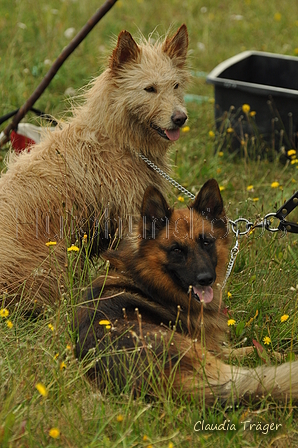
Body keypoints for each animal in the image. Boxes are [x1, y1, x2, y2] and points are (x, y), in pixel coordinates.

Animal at [75, 180, 298, 404]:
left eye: (206, 242)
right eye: (176, 250)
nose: (206, 279)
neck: (146, 278)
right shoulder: (215, 349)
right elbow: (252, 349)